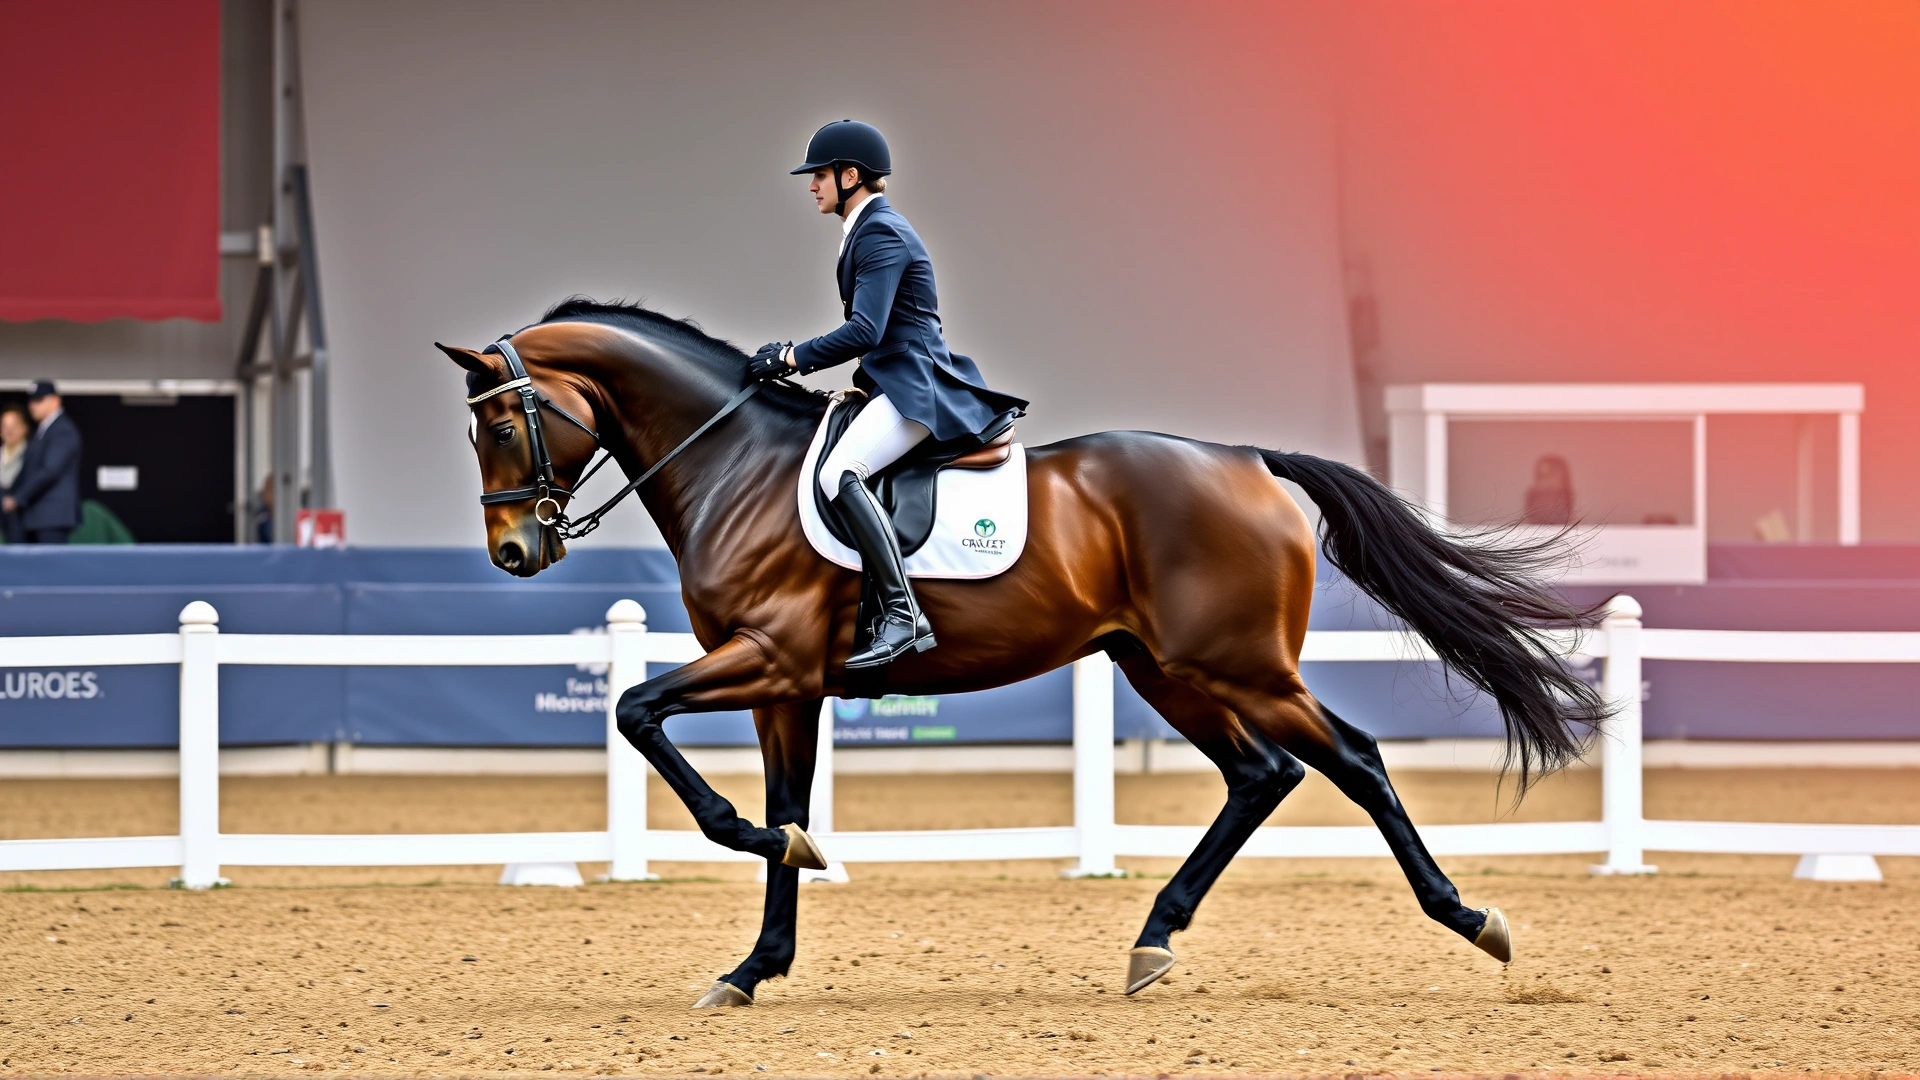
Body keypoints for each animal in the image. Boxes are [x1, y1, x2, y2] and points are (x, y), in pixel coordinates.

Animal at [439, 297, 1605, 1008]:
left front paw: (775, 868)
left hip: (1241, 667)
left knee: (1350, 760)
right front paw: (759, 954)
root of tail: (1245, 461)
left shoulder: (768, 657)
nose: (514, 552)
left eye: (498, 425)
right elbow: (783, 804)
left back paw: (1472, 920)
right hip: (1161, 667)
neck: (734, 463)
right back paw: (1154, 940)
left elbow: (641, 718)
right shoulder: (787, 685)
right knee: (1260, 774)